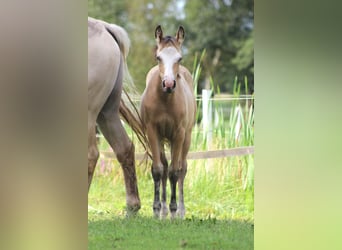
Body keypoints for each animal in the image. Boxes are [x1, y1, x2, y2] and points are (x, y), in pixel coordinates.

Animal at [140, 24, 196, 218]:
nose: (169, 84)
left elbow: (174, 171)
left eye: (179, 58)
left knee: (182, 169)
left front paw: (173, 210)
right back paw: (163, 210)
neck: (164, 101)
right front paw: (157, 209)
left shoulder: (178, 134)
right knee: (164, 166)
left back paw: (180, 211)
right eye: (159, 57)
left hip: (186, 138)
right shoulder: (152, 132)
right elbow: (158, 169)